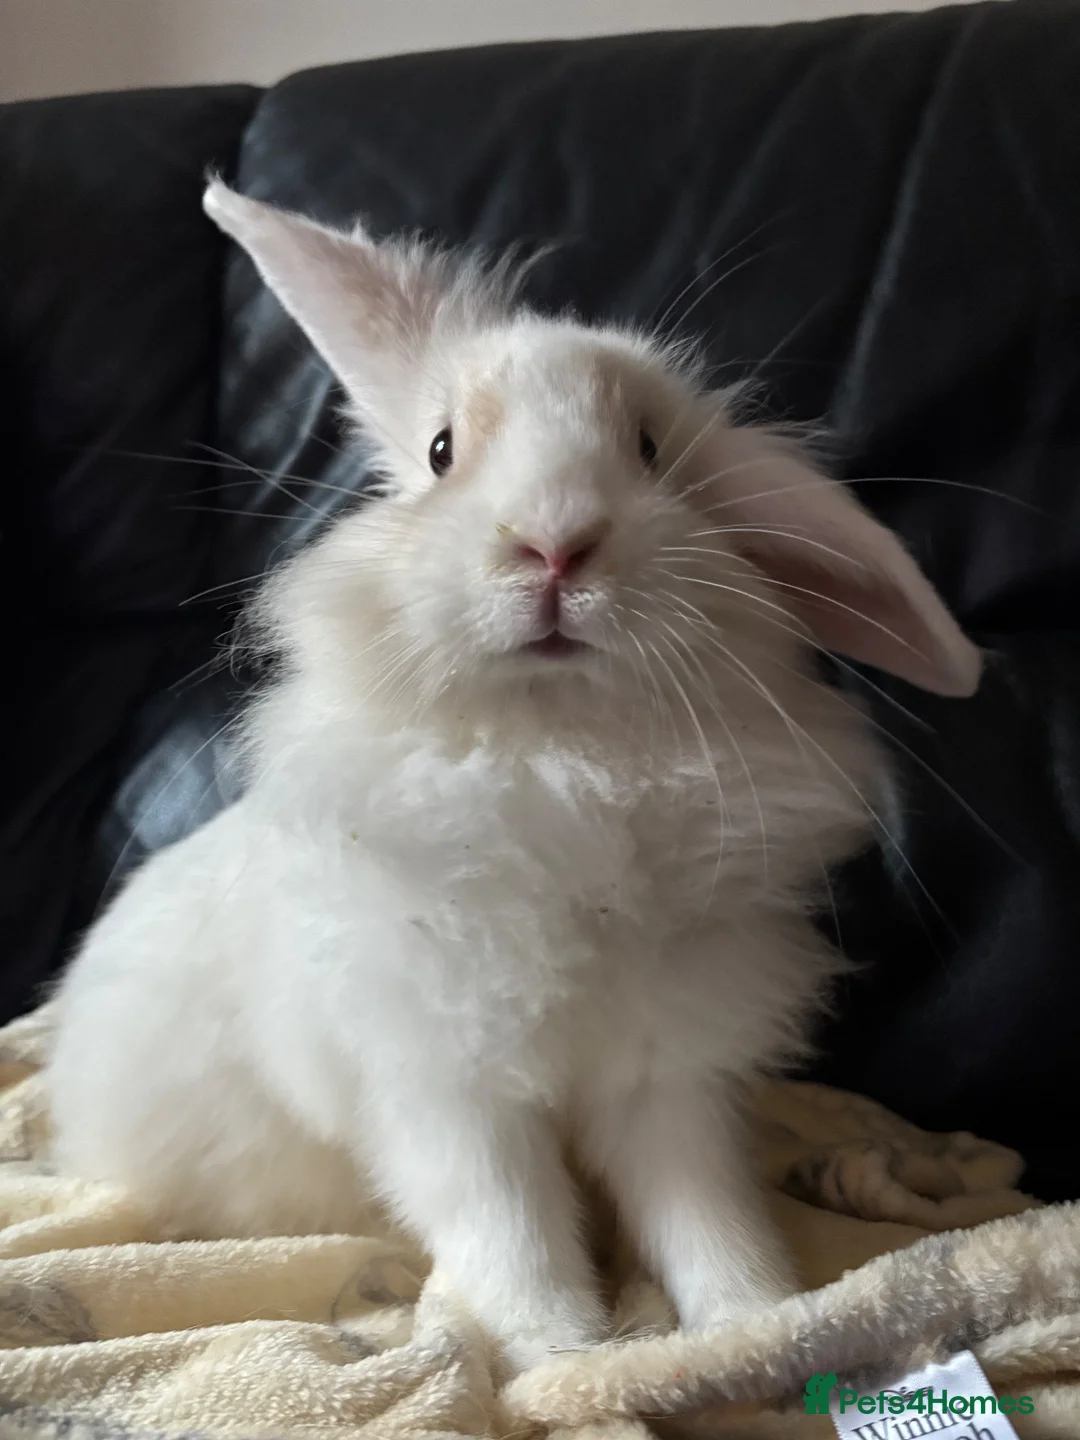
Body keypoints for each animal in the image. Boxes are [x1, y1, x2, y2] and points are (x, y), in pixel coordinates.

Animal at [45, 180, 982, 1374]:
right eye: (442, 450)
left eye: (651, 450)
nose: (555, 543)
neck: (567, 765)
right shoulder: (449, 1093)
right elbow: (514, 1231)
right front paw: (560, 1354)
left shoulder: (669, 1077)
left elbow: (703, 1209)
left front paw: (756, 1324)